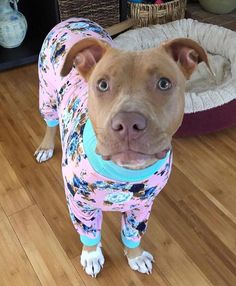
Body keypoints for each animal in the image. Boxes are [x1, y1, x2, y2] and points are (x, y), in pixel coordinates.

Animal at [34, 17, 209, 278]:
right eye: (102, 84)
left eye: (164, 83)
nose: (128, 123)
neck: (123, 174)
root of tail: (73, 19)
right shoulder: (81, 205)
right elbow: (89, 233)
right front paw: (92, 255)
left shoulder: (143, 205)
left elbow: (132, 233)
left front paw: (135, 255)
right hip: (46, 93)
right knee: (50, 121)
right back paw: (46, 145)